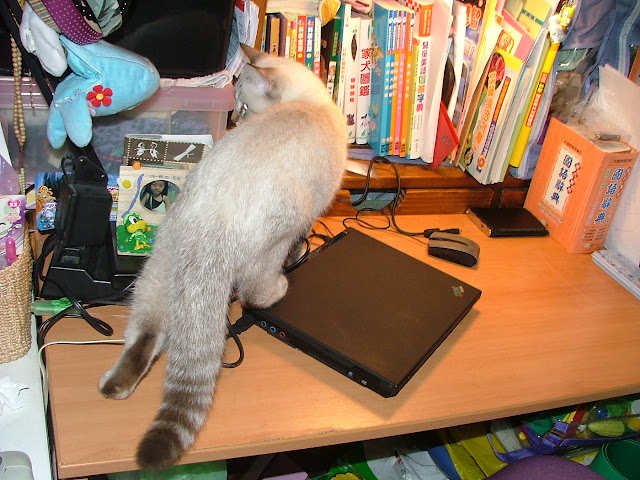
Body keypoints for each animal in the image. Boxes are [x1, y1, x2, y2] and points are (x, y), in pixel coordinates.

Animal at [98, 44, 348, 470]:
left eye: (244, 106)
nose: (236, 119)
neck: (311, 102)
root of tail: (205, 228)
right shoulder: (311, 213)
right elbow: (301, 242)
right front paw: (303, 253)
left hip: (158, 269)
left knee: (146, 334)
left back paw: (114, 387)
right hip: (273, 242)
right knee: (254, 292)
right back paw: (281, 287)